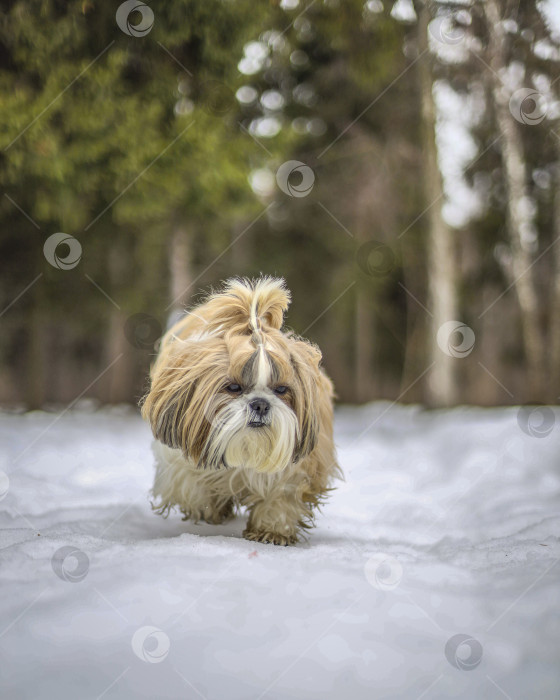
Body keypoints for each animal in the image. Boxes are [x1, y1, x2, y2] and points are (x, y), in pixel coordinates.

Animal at [142, 276, 340, 544]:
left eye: (281, 389)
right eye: (234, 387)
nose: (260, 403)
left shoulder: (297, 468)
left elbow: (281, 496)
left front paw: (271, 529)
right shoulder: (177, 461)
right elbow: (192, 485)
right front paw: (210, 507)